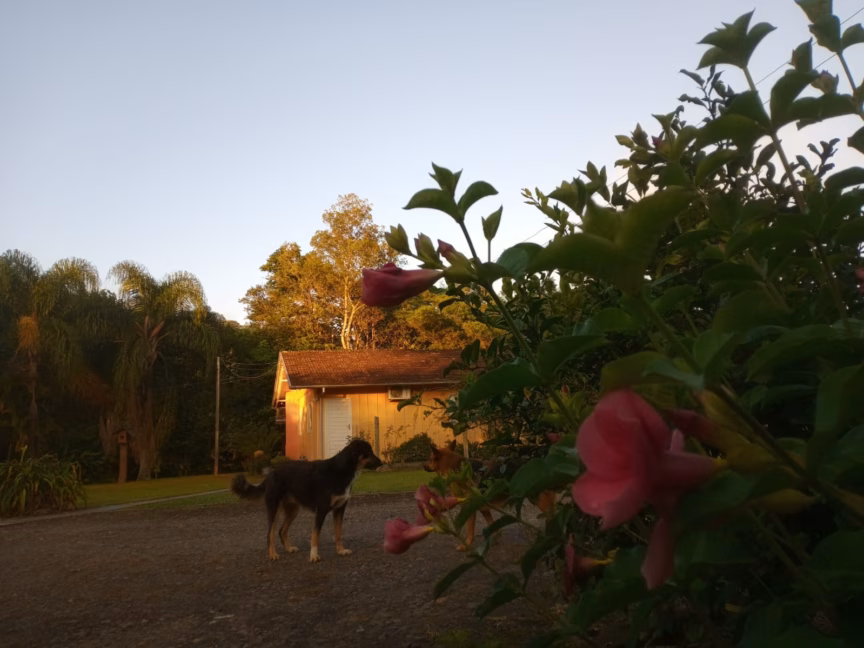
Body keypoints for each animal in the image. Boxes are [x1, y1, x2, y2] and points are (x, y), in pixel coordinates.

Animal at [232, 439, 383, 562]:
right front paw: (314, 556)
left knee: (281, 531)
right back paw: (273, 554)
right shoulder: (321, 510)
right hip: (274, 509)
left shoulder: (340, 509)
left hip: (293, 510)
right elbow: (315, 535)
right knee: (270, 534)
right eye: (369, 452)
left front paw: (340, 550)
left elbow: (338, 532)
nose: (382, 462)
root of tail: (271, 473)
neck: (341, 470)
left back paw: (289, 548)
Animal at [423, 440, 557, 550]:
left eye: (430, 459)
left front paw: (466, 545)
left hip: (540, 500)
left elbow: (469, 529)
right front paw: (496, 538)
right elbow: (492, 524)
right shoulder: (484, 508)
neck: (454, 467)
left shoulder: (469, 508)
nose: (424, 466)